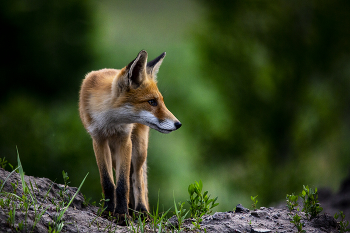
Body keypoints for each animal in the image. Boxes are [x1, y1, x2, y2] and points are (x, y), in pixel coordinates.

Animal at [78, 50, 182, 224]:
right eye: (152, 102)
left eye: (161, 101)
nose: (178, 124)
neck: (110, 123)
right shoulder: (98, 140)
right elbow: (108, 182)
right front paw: (109, 211)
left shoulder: (125, 140)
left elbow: (123, 184)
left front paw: (121, 214)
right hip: (114, 154)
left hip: (138, 149)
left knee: (137, 178)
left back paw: (141, 210)